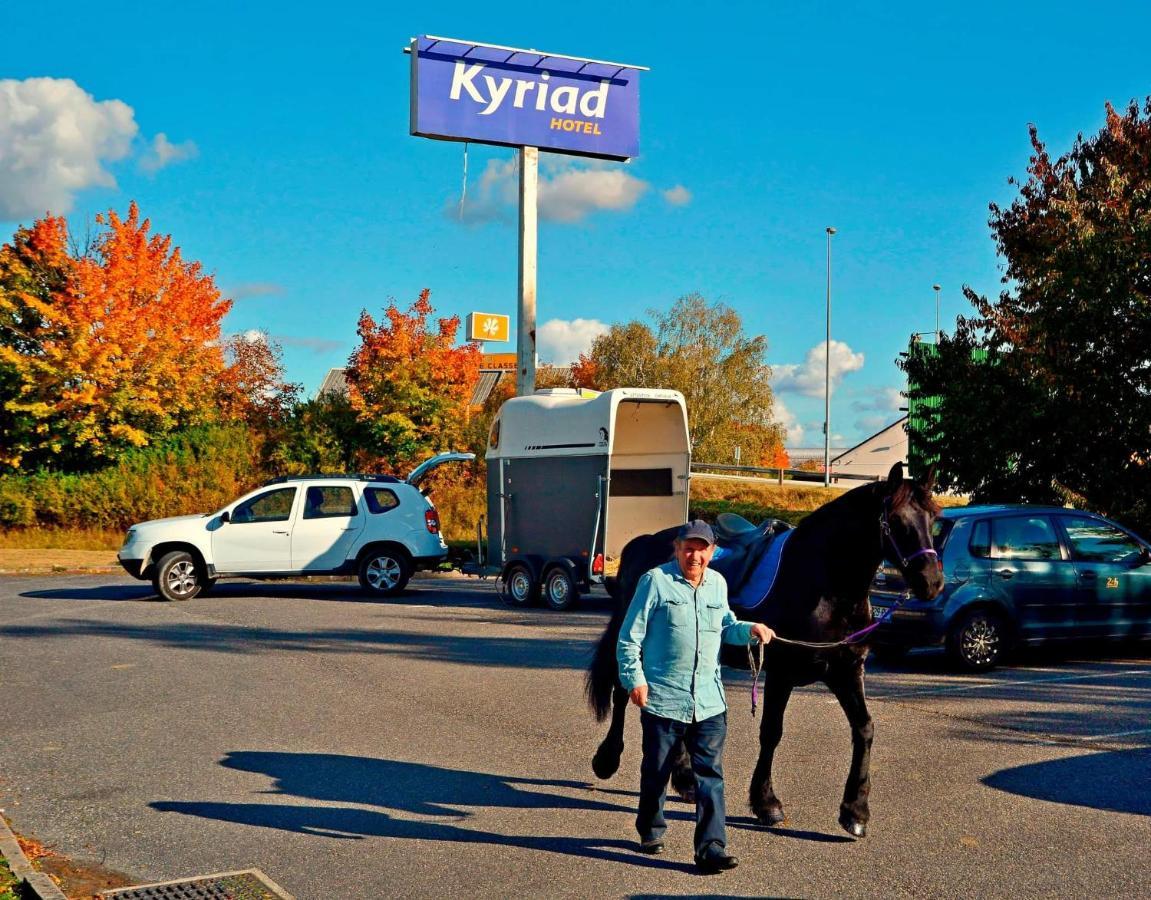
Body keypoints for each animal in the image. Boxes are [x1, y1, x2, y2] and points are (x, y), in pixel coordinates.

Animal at [584, 464, 943, 837]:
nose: (932, 583)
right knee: (623, 692)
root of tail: (641, 544)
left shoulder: (845, 671)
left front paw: (855, 810)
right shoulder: (781, 672)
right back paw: (607, 759)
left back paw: (684, 779)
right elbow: (772, 732)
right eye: (896, 520)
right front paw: (766, 802)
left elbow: (864, 729)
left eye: (933, 518)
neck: (823, 582)